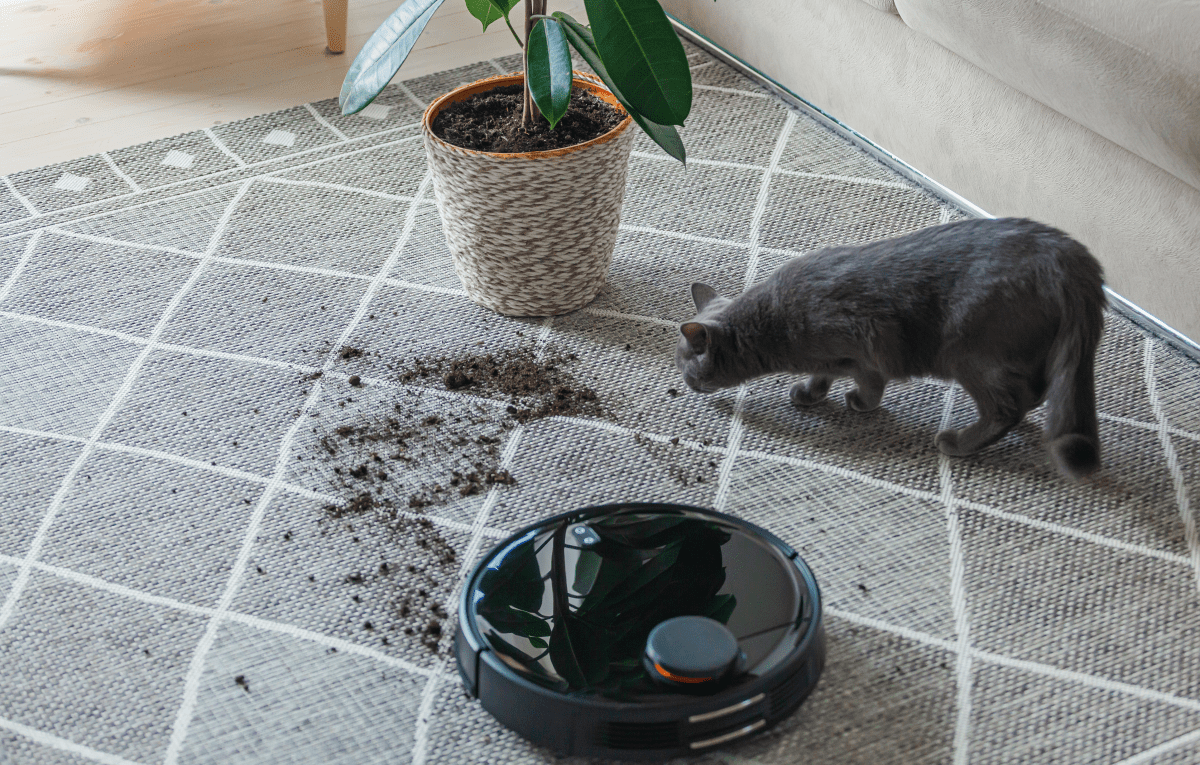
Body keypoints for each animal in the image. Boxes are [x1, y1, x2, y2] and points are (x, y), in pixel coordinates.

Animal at [676, 218, 1104, 479]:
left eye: (684, 366)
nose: (686, 384)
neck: (772, 325)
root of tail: (1071, 258)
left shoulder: (864, 345)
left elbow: (869, 383)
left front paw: (858, 404)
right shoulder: (835, 355)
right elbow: (823, 373)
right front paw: (810, 394)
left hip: (967, 352)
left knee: (1008, 407)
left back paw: (958, 442)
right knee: (1035, 392)